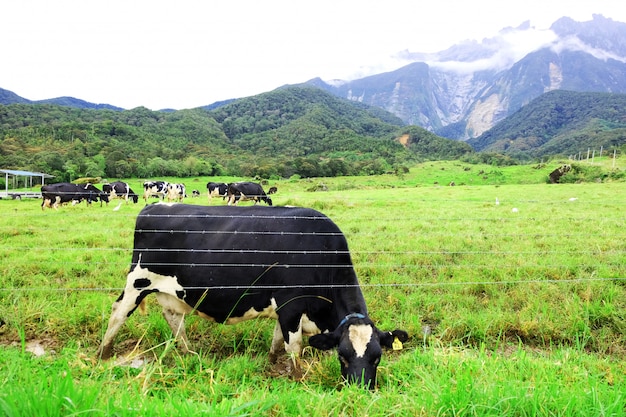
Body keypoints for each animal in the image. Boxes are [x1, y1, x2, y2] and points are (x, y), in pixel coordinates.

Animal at [98, 203, 404, 388]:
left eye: (377, 358)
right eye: (343, 357)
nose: (360, 389)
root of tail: (155, 205)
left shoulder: (285, 310)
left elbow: (278, 340)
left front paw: (269, 363)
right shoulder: (291, 305)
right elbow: (294, 348)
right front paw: (297, 378)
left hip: (172, 291)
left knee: (173, 318)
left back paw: (190, 354)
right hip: (138, 280)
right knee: (118, 313)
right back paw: (103, 354)